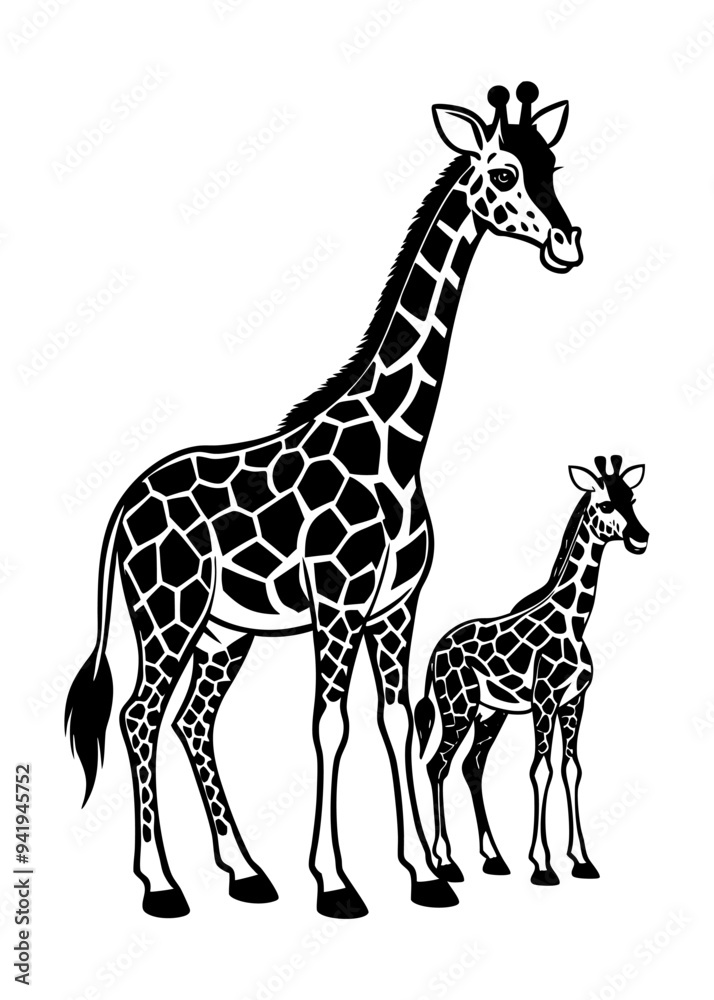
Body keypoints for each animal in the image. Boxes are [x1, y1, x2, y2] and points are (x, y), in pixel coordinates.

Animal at [65, 82, 583, 920]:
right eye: (505, 173)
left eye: (553, 166)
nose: (569, 242)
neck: (398, 445)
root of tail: (123, 505)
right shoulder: (337, 604)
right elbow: (329, 725)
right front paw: (337, 883)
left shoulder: (395, 608)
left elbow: (396, 722)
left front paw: (426, 874)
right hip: (167, 614)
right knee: (139, 716)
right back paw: (162, 885)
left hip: (223, 631)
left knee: (192, 723)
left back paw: (245, 872)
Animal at [415, 456, 648, 886]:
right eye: (606, 504)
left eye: (633, 499)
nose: (641, 537)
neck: (574, 622)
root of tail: (436, 651)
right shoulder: (544, 701)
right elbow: (541, 770)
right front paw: (543, 865)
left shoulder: (574, 702)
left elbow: (571, 768)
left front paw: (581, 860)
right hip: (457, 708)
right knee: (437, 764)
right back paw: (446, 861)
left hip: (491, 713)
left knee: (472, 765)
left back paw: (493, 857)